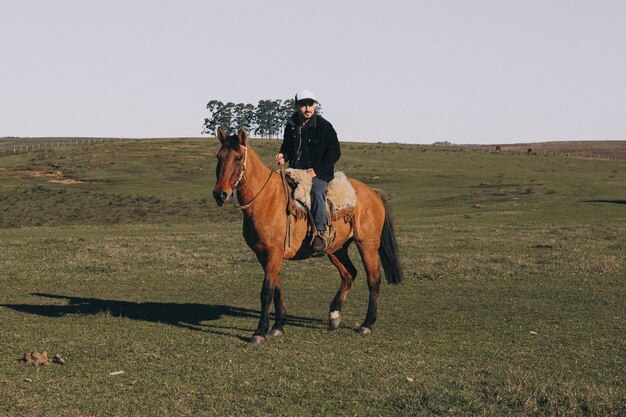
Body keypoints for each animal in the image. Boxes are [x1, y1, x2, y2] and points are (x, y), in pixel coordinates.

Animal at [212, 128, 402, 342]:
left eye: (238, 158)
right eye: (219, 156)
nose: (220, 194)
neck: (265, 199)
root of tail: (373, 193)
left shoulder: (273, 253)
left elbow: (267, 291)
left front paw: (260, 331)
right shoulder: (264, 255)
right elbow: (277, 288)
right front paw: (278, 326)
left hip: (367, 244)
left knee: (373, 279)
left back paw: (367, 324)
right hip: (336, 249)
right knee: (349, 274)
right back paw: (334, 316)